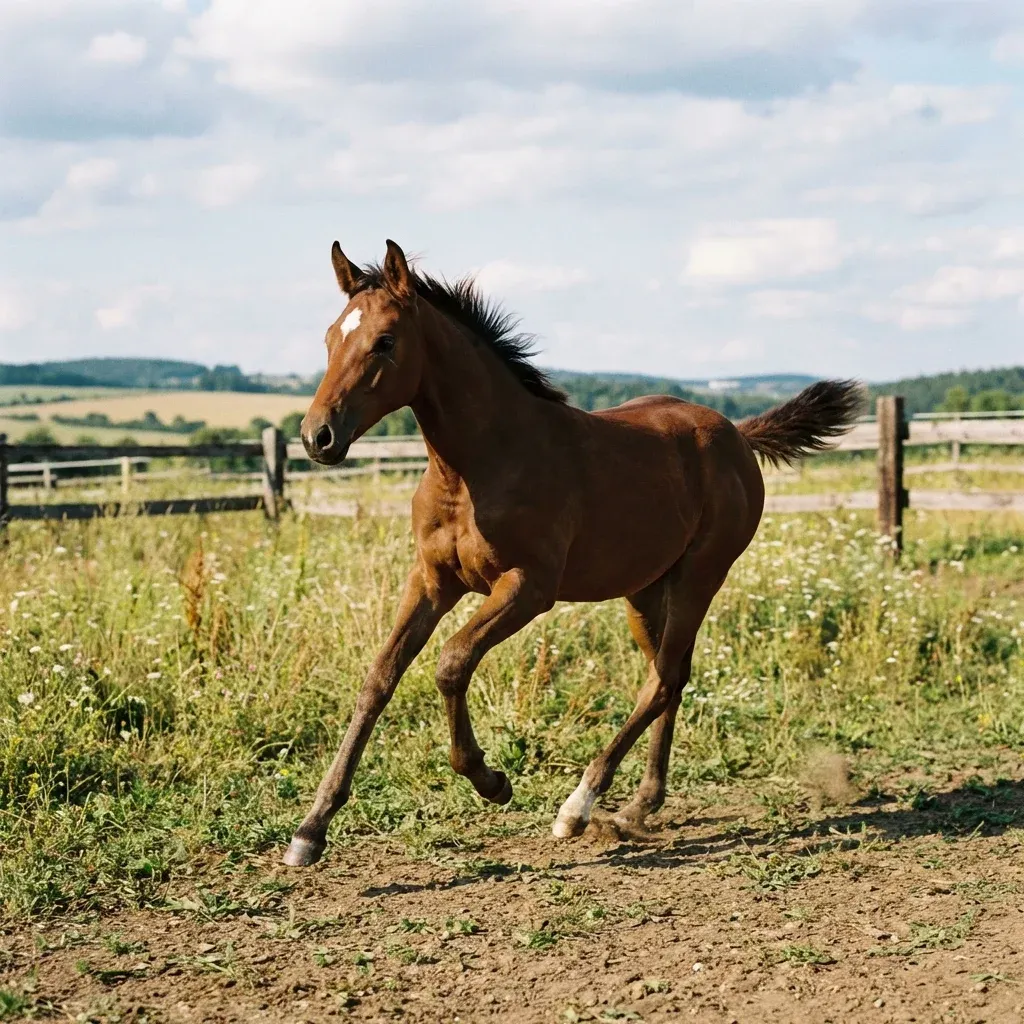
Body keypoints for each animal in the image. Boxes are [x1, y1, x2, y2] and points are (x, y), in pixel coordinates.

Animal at [282, 239, 862, 867]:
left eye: (385, 341)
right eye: (330, 337)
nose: (317, 436)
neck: (479, 465)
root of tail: (735, 431)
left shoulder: (529, 587)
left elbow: (452, 662)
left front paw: (491, 781)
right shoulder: (432, 580)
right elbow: (378, 679)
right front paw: (311, 830)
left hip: (701, 576)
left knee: (663, 678)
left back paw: (578, 807)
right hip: (644, 590)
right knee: (672, 674)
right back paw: (639, 806)